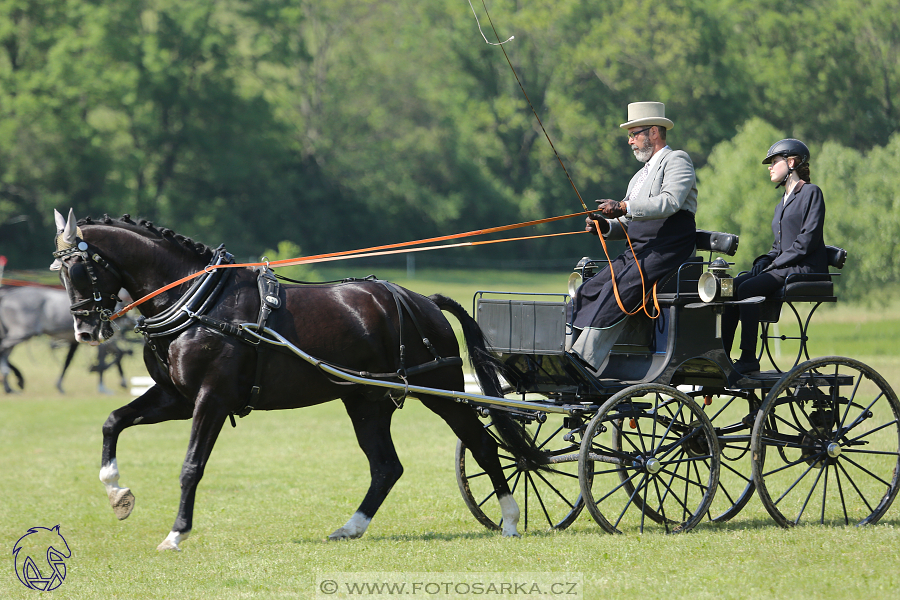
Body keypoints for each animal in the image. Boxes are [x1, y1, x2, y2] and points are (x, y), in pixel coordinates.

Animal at [0, 286, 134, 394]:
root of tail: (8, 295)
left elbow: (119, 354)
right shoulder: (99, 341)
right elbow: (104, 359)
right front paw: (101, 383)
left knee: (5, 355)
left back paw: (9, 387)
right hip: (20, 334)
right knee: (3, 351)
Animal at [51, 209, 536, 552]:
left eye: (77, 270)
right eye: (58, 272)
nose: (85, 331)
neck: (198, 302)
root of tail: (421, 300)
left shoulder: (211, 398)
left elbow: (191, 466)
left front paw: (176, 533)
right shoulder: (176, 398)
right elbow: (113, 421)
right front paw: (118, 493)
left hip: (441, 390)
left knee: (483, 444)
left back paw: (511, 519)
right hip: (366, 400)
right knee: (386, 466)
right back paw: (350, 527)